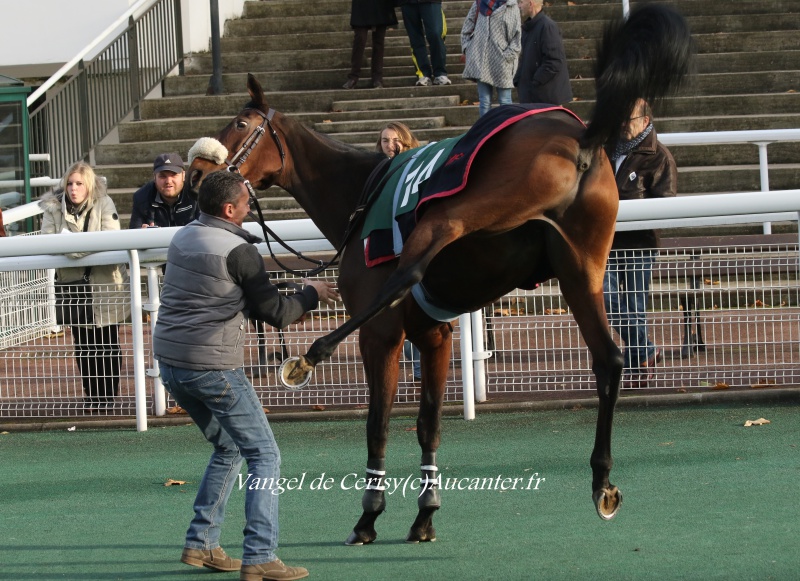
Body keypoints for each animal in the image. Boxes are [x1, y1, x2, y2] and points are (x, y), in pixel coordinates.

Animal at [184, 5, 692, 544]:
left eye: (239, 123)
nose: (196, 175)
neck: (360, 191)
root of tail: (582, 135)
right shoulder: (435, 333)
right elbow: (428, 422)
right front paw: (424, 512)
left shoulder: (386, 335)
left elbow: (380, 421)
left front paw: (369, 515)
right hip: (582, 266)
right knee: (610, 357)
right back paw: (601, 479)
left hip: (471, 207)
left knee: (416, 262)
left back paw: (312, 355)